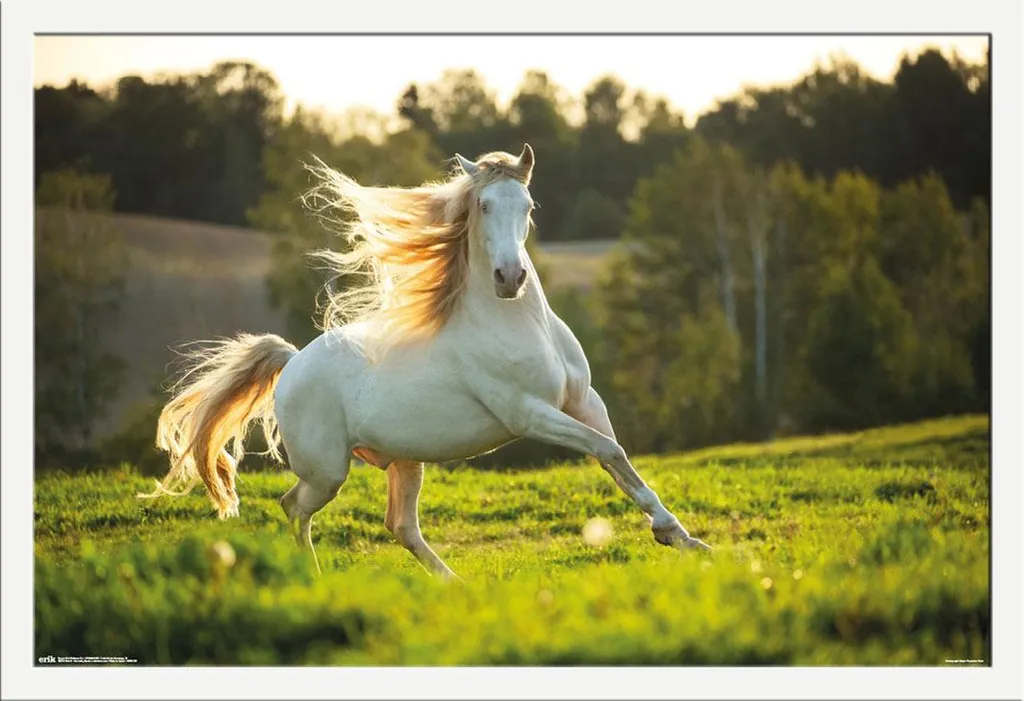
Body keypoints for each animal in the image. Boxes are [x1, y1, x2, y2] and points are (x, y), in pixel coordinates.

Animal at [142, 144, 711, 580]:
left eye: (528, 205)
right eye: (483, 205)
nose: (510, 278)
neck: (518, 325)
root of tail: (293, 360)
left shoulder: (583, 402)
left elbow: (619, 460)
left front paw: (684, 539)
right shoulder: (528, 414)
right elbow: (607, 450)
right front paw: (672, 536)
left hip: (403, 461)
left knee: (400, 525)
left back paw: (452, 583)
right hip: (328, 470)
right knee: (294, 507)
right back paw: (316, 578)